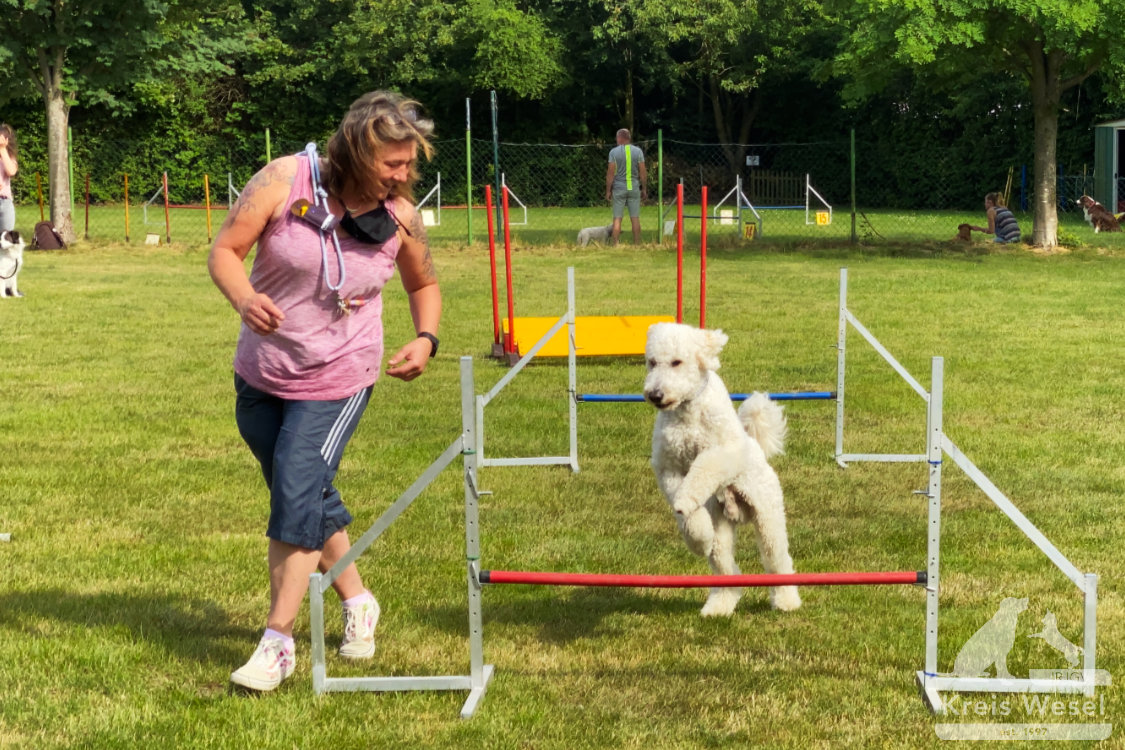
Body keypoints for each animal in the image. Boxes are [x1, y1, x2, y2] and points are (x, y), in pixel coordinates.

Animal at [643, 323, 801, 616]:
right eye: (652, 362)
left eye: (677, 362)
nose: (655, 395)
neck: (687, 411)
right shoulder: (668, 467)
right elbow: (687, 510)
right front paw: (696, 537)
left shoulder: (724, 450)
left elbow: (704, 469)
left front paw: (686, 500)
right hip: (721, 528)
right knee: (726, 569)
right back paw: (719, 606)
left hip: (768, 516)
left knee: (778, 560)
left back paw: (786, 600)